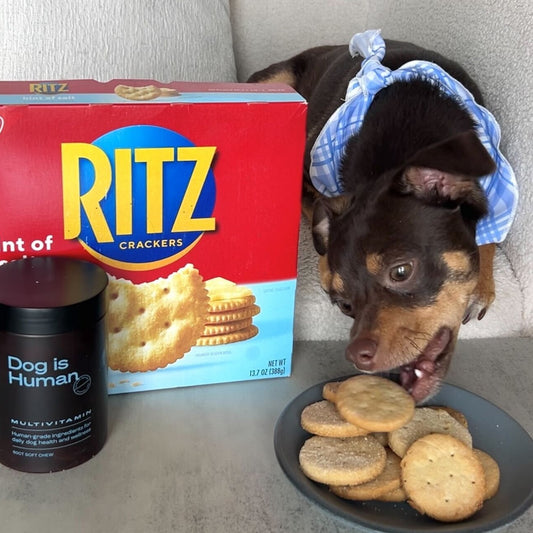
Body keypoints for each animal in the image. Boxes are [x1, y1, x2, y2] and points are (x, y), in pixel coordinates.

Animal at [250, 34, 498, 400]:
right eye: (344, 305)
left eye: (401, 272)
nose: (356, 356)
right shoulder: (306, 176)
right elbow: (319, 210)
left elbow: (490, 227)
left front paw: (482, 284)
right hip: (273, 81)